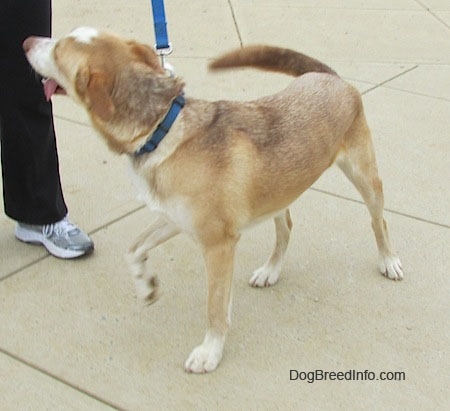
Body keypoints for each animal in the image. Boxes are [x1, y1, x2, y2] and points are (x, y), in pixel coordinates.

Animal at [23, 25, 404, 374]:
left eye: (58, 49)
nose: (26, 41)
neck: (161, 128)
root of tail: (327, 76)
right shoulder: (175, 219)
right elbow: (134, 248)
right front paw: (145, 285)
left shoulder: (218, 245)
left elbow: (215, 308)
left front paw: (210, 352)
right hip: (277, 190)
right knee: (286, 226)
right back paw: (271, 269)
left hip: (364, 176)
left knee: (378, 220)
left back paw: (389, 261)